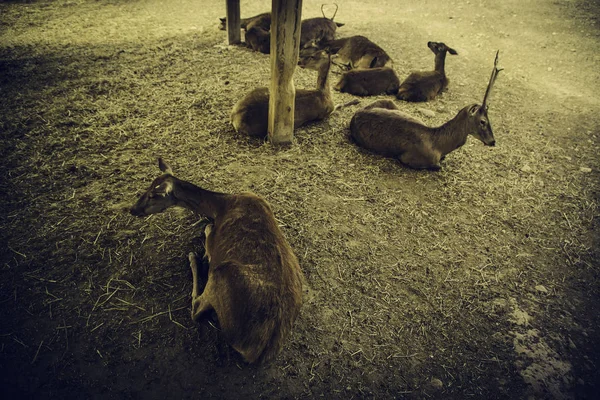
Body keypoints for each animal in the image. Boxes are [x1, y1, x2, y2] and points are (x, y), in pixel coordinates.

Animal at [129, 159, 302, 362]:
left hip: (222, 273)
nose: (132, 210)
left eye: (153, 195)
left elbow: (208, 229)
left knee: (196, 309)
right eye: (147, 187)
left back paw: (194, 258)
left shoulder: (212, 242)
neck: (220, 206)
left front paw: (201, 253)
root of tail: (256, 351)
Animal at [350, 50, 504, 170]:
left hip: (388, 102)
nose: (493, 141)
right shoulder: (408, 158)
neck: (439, 145)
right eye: (483, 121)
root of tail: (356, 114)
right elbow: (437, 166)